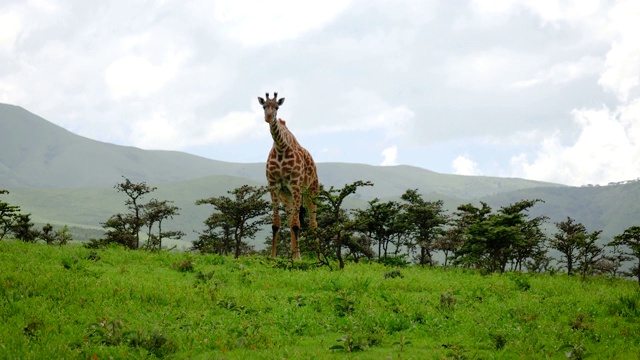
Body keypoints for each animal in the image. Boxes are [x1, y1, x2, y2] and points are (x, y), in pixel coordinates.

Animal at [258, 90, 318, 258]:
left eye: (277, 107)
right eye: (264, 106)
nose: (268, 117)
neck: (280, 147)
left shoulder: (295, 185)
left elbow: (297, 225)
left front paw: (297, 258)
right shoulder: (274, 186)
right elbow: (276, 224)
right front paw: (272, 256)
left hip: (311, 191)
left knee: (313, 223)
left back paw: (314, 255)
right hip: (287, 195)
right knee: (292, 219)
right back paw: (293, 254)